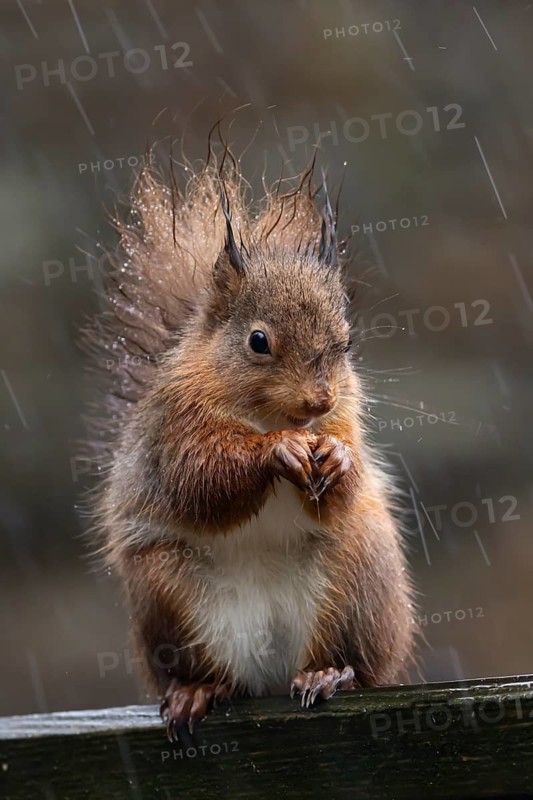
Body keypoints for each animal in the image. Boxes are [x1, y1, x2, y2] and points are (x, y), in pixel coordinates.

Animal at [83, 138, 415, 741]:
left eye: (346, 343)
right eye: (258, 341)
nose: (319, 401)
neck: (267, 415)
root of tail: (271, 674)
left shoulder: (347, 417)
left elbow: (345, 484)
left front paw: (338, 457)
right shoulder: (173, 431)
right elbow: (200, 479)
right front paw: (277, 451)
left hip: (358, 574)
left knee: (358, 663)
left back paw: (329, 673)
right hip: (167, 592)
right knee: (214, 673)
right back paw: (197, 690)